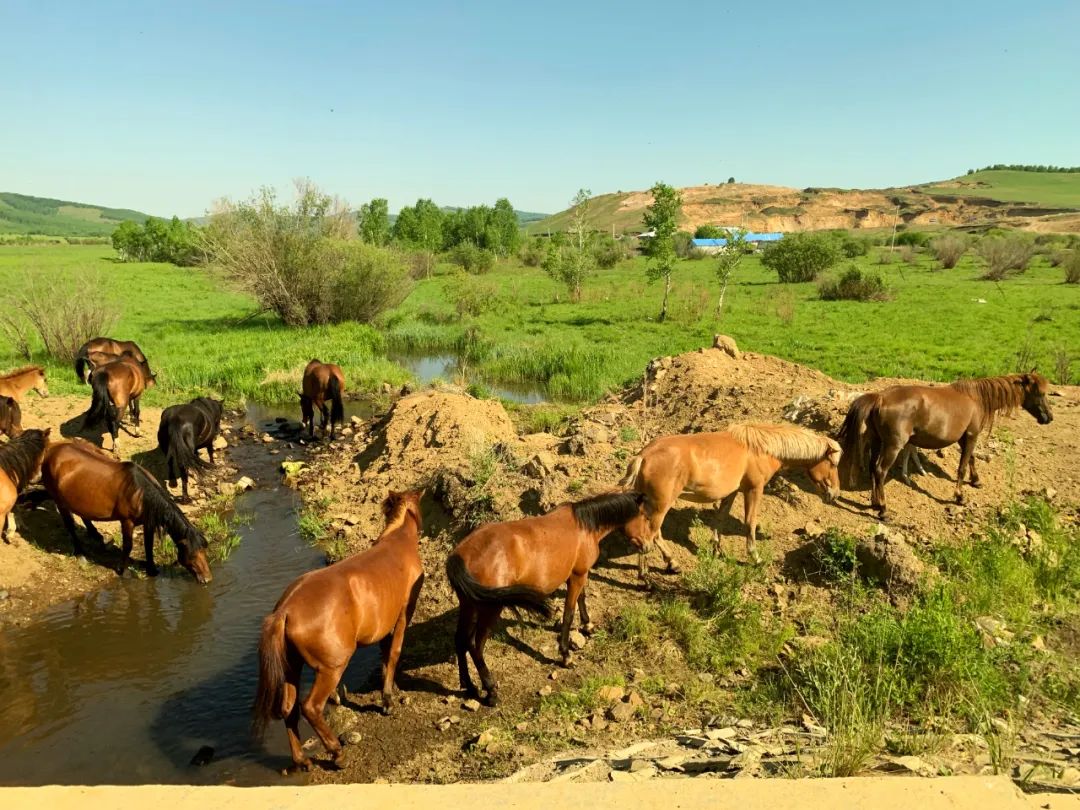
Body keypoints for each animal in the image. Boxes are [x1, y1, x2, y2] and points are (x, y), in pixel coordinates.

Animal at [42, 438, 211, 583]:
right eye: (193, 555)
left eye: (204, 551)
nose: (207, 579)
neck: (140, 492)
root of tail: (51, 450)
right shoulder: (127, 522)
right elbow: (128, 546)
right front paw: (123, 570)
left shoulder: (148, 522)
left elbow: (148, 544)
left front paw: (151, 569)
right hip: (60, 502)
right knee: (70, 526)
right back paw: (80, 553)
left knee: (84, 515)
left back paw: (96, 535)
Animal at [251, 492, 421, 768]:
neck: (397, 542)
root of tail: (285, 610)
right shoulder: (404, 615)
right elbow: (394, 654)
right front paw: (387, 700)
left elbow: (384, 655)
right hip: (331, 669)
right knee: (310, 707)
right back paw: (337, 753)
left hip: (292, 667)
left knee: (289, 708)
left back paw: (302, 760)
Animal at [447, 492, 648, 708]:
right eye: (645, 518)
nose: (647, 546)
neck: (584, 526)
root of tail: (461, 554)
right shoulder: (578, 576)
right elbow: (568, 614)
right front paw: (566, 656)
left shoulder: (577, 574)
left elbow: (582, 599)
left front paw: (588, 626)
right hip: (490, 609)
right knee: (475, 647)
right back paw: (491, 691)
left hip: (469, 605)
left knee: (461, 640)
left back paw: (469, 685)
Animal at [617, 421, 842, 574]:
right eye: (832, 463)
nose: (835, 493)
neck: (760, 449)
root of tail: (644, 456)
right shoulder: (754, 490)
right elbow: (750, 523)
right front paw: (755, 558)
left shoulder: (732, 493)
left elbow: (720, 519)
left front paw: (717, 549)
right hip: (661, 505)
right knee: (652, 534)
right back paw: (667, 565)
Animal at [833, 373, 1054, 520]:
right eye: (1040, 393)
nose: (1048, 418)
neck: (976, 398)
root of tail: (880, 398)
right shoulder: (972, 435)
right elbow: (962, 466)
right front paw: (959, 497)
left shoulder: (966, 437)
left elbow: (971, 459)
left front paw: (976, 481)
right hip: (893, 446)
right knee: (880, 471)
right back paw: (883, 510)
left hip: (878, 442)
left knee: (873, 469)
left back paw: (874, 502)